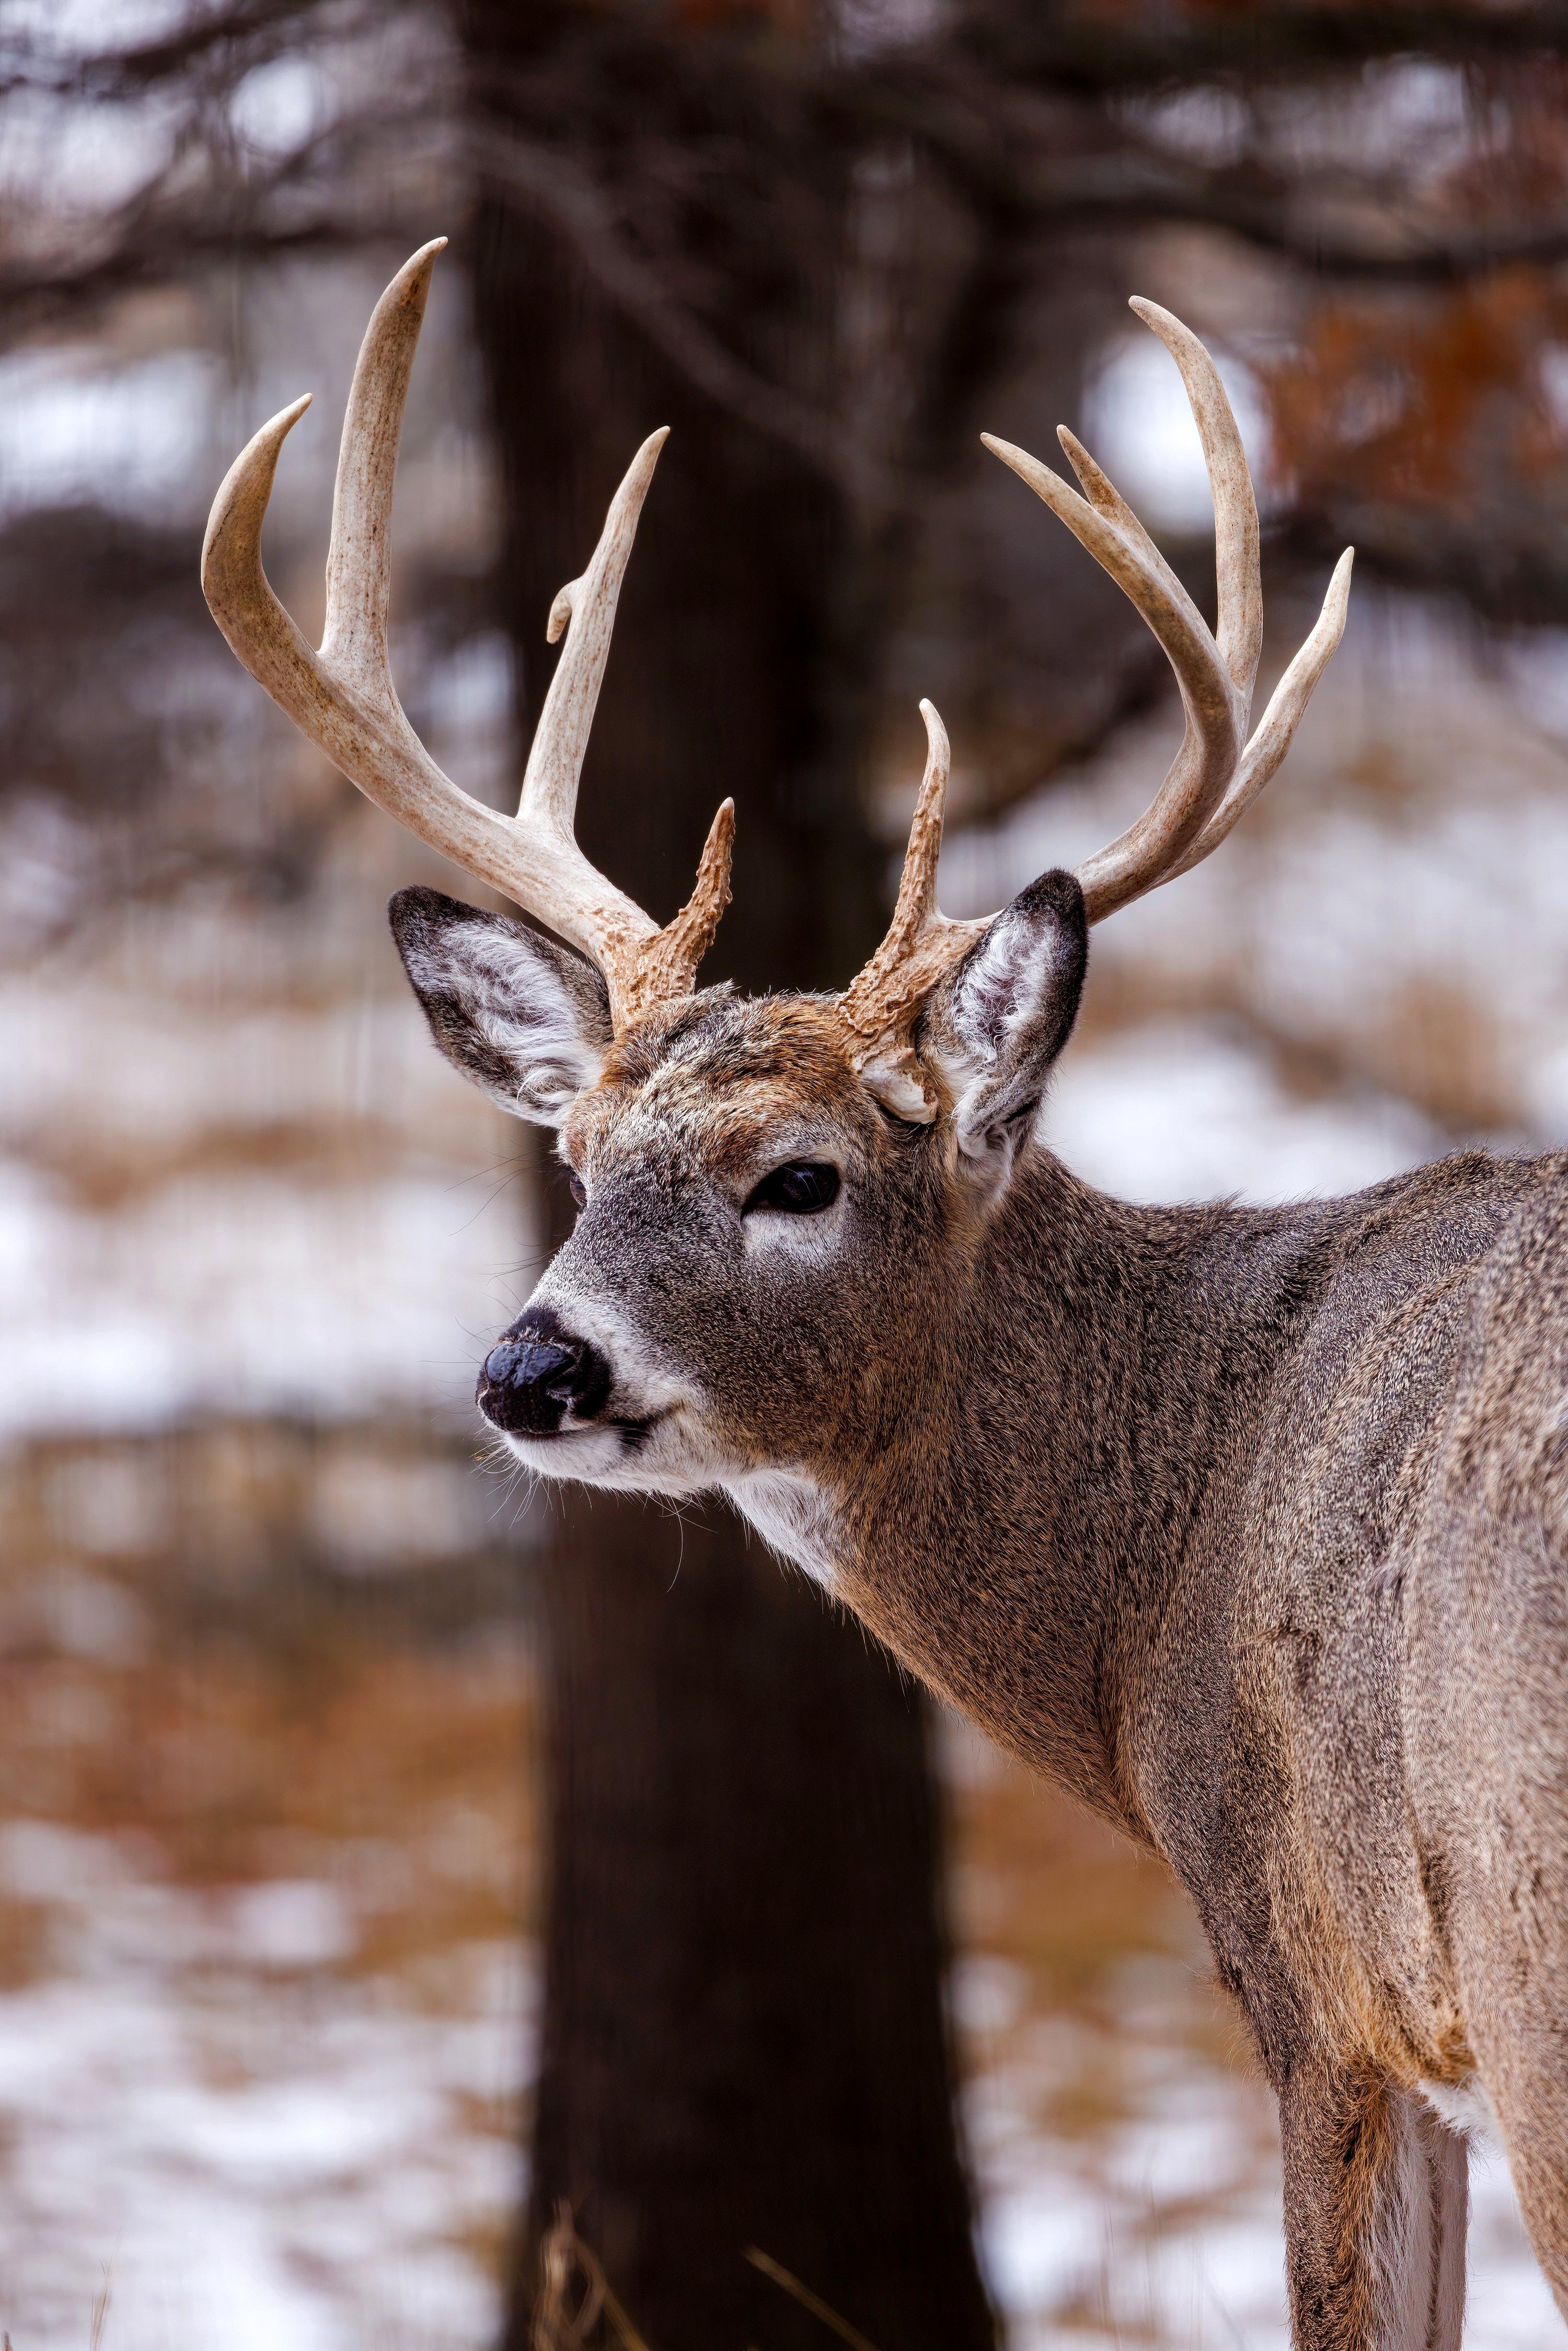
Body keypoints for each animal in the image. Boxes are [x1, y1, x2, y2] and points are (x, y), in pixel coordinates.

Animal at [202, 243, 1568, 2351]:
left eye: (799, 1175)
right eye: (578, 1162)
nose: (527, 1365)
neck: (1155, 1556)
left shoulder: (1324, 1978)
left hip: (1520, 1916)